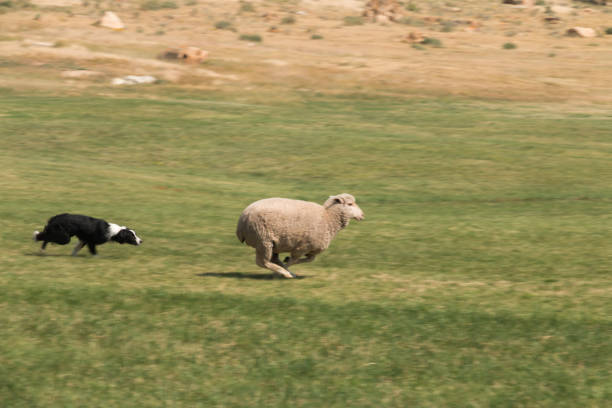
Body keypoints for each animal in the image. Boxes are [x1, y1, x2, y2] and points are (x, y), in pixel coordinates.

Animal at [235, 194, 364, 278]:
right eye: (350, 204)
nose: (362, 215)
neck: (328, 218)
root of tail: (242, 220)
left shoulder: (311, 249)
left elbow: (309, 259)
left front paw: (286, 263)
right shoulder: (302, 246)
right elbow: (295, 259)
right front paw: (286, 267)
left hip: (272, 243)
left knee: (272, 259)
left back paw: (285, 270)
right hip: (263, 240)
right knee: (263, 262)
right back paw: (285, 273)